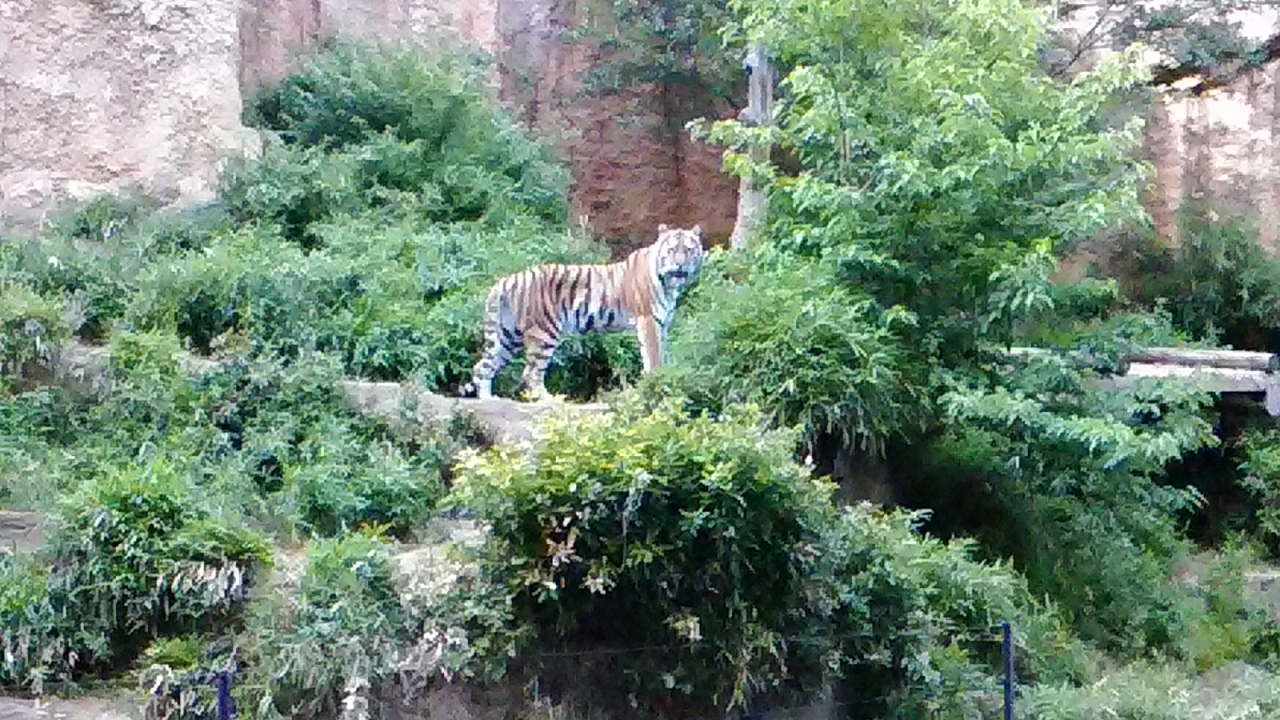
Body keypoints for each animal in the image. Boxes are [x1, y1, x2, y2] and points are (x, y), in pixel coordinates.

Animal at [459, 223, 707, 401]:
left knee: (483, 366)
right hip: (544, 332)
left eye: (689, 250)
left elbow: (660, 353)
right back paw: (550, 400)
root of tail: (505, 280)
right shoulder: (648, 320)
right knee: (530, 372)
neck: (670, 285)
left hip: (508, 336)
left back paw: (489, 399)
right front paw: (656, 382)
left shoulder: (661, 324)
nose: (680, 265)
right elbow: (653, 356)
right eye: (672, 250)